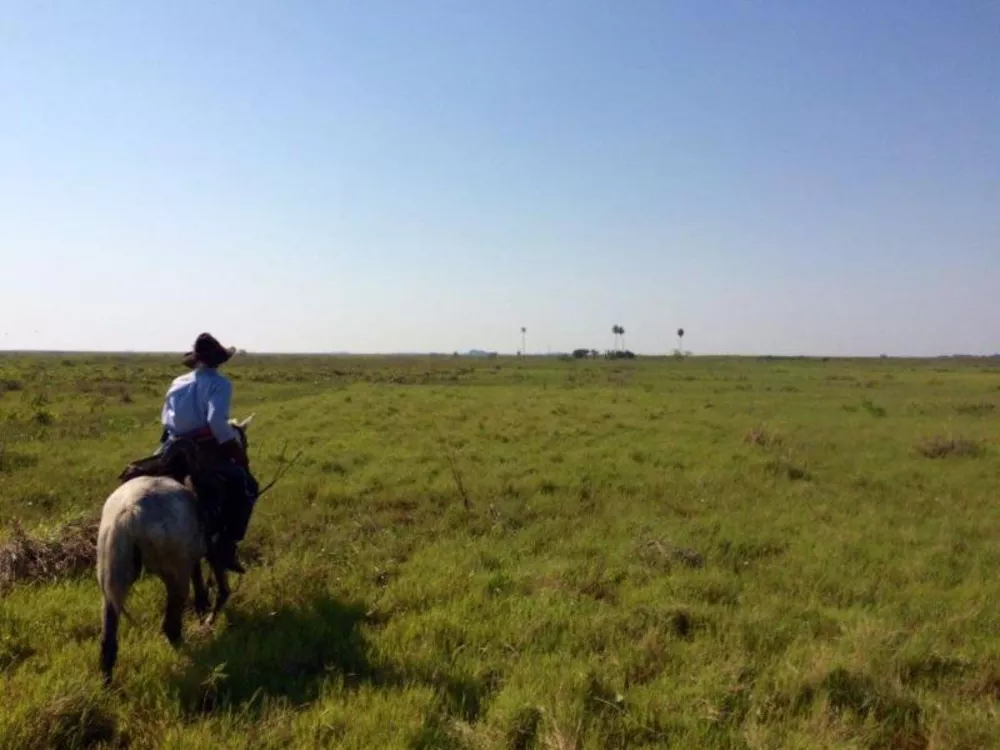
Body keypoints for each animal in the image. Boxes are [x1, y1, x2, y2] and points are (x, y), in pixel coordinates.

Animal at [96, 418, 256, 688]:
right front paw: (210, 613)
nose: (248, 473)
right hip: (175, 578)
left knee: (109, 639)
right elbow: (221, 582)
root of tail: (129, 513)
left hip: (113, 578)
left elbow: (200, 577)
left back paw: (107, 684)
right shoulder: (214, 548)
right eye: (241, 444)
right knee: (171, 626)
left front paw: (203, 606)